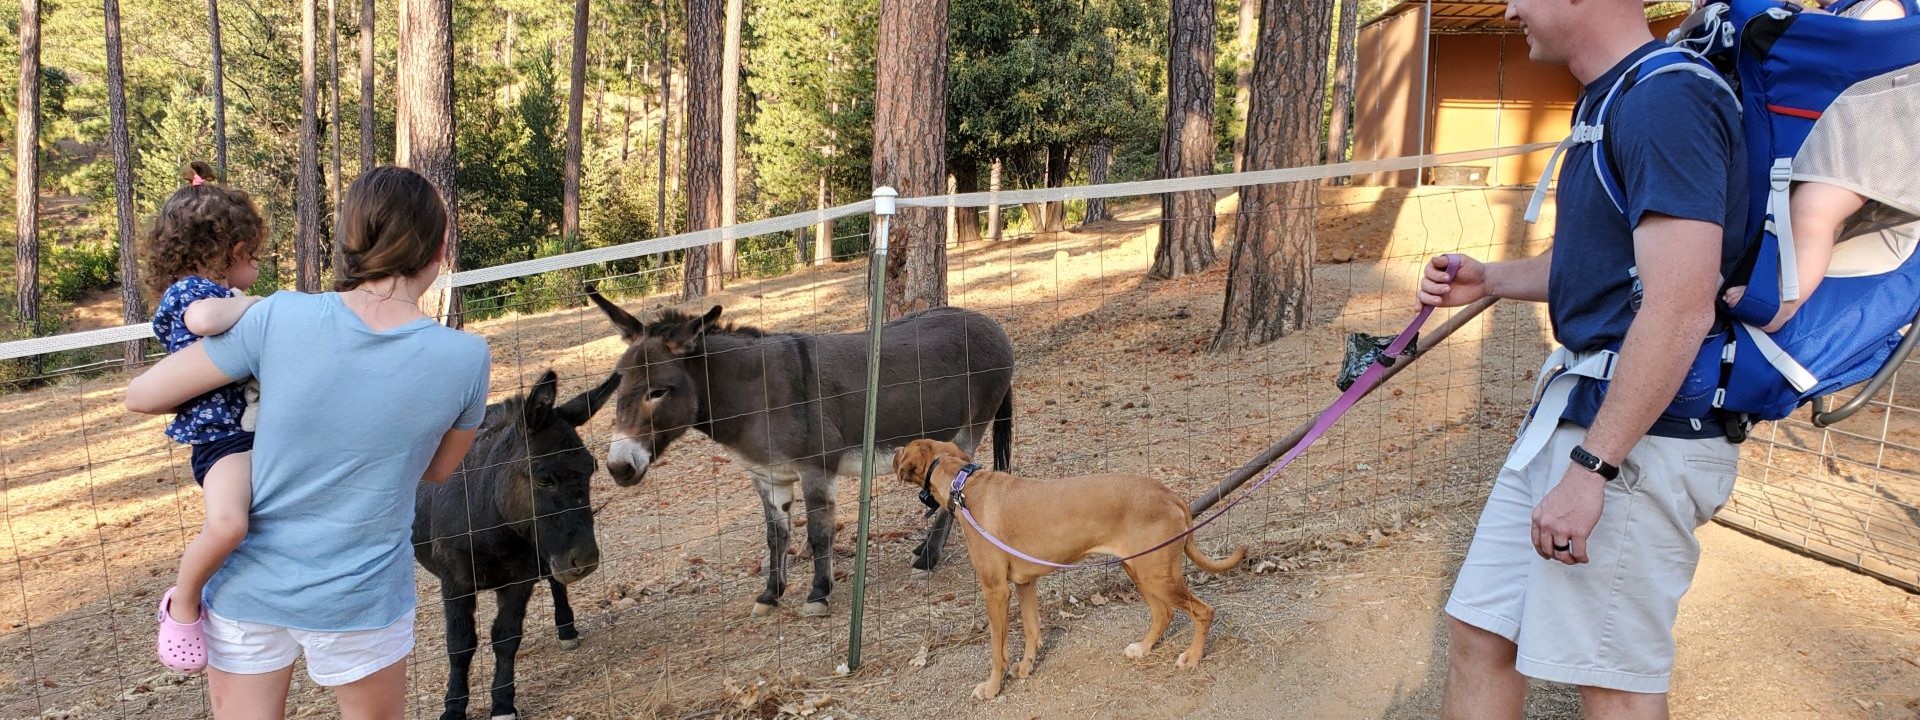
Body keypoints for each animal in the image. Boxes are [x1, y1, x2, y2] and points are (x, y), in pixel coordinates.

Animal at [894, 439, 1251, 698]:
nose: (892, 451)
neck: (963, 484)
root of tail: (1171, 495)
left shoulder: (995, 590)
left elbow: (998, 650)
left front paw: (993, 687)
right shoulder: (1024, 584)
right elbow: (1032, 631)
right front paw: (1026, 668)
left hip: (1156, 574)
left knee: (1203, 611)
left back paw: (1192, 657)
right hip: (1139, 569)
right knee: (1163, 613)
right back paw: (1144, 648)